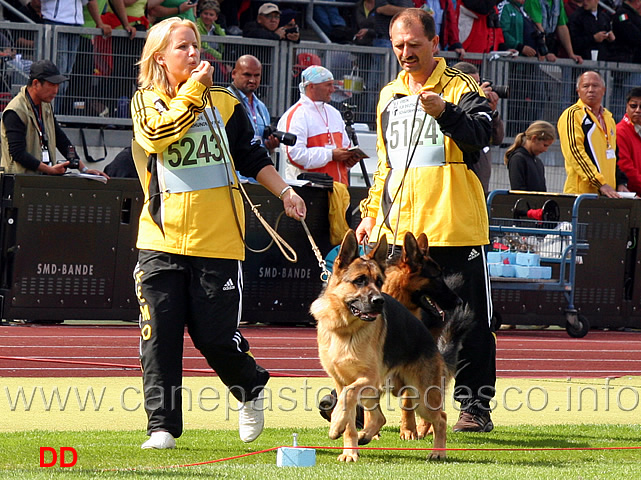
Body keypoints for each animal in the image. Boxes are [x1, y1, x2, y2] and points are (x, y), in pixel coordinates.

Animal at [312, 231, 464, 464]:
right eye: (359, 280)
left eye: (379, 281)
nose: (379, 300)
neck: (345, 328)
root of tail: (431, 342)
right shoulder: (342, 380)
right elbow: (348, 413)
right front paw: (349, 450)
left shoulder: (367, 378)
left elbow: (347, 395)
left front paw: (336, 424)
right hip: (377, 392)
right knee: (379, 417)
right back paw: (365, 435)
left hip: (421, 397)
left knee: (441, 418)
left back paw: (438, 451)